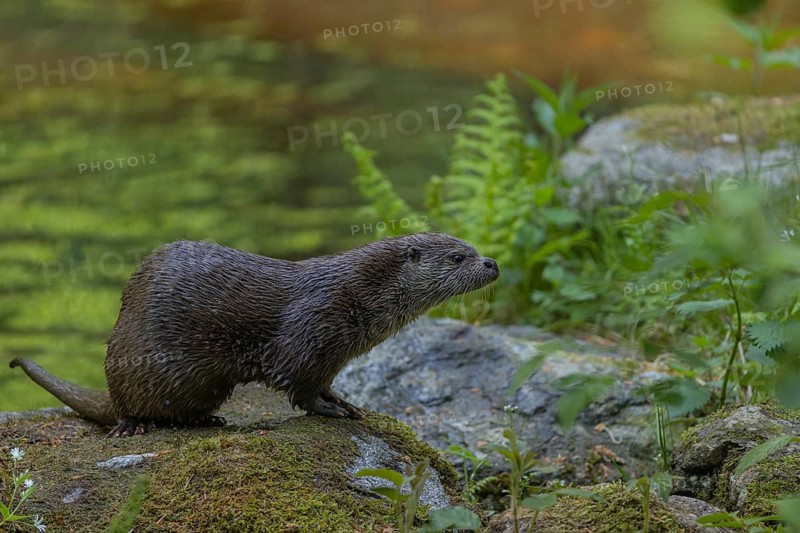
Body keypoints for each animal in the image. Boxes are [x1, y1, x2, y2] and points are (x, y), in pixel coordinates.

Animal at [10, 233, 499, 437]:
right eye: (459, 257)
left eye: (474, 248)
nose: (492, 262)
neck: (358, 295)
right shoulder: (308, 334)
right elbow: (299, 387)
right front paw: (329, 411)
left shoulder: (331, 355)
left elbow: (325, 384)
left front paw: (346, 403)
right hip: (132, 358)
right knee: (128, 405)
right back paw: (133, 425)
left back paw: (207, 420)